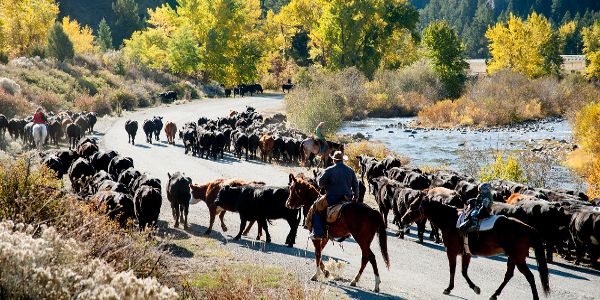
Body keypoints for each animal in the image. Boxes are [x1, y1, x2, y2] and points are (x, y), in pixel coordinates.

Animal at [400, 198, 552, 298]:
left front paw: (449, 288)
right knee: (509, 275)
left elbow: (453, 270)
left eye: (413, 205)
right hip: (513, 258)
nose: (403, 219)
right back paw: (494, 294)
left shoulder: (451, 251)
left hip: (518, 258)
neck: (450, 220)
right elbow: (464, 272)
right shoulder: (466, 254)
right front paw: (475, 288)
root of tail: (528, 229)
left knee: (530, 277)